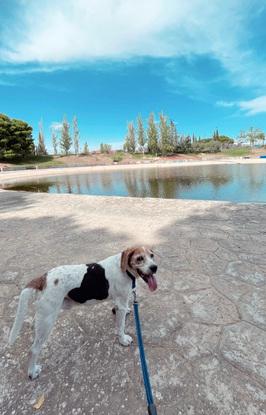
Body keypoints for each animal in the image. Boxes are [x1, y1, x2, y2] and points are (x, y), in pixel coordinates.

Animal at [8, 247, 158, 380]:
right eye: (139, 258)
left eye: (152, 256)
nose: (155, 267)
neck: (125, 269)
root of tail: (43, 278)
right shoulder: (120, 303)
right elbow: (120, 327)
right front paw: (123, 340)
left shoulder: (119, 302)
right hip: (47, 322)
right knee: (33, 350)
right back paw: (32, 372)